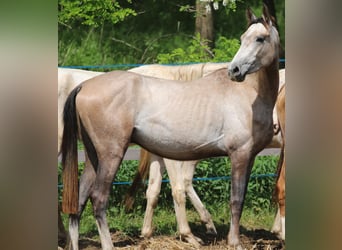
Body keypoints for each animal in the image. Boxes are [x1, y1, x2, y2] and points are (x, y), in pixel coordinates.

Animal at [61, 5, 280, 248]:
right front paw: (234, 242)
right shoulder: (239, 155)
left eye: (260, 38)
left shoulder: (249, 157)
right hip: (110, 155)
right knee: (98, 198)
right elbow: (236, 199)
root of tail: (83, 86)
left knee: (79, 199)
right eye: (243, 38)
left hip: (93, 157)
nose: (235, 70)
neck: (249, 94)